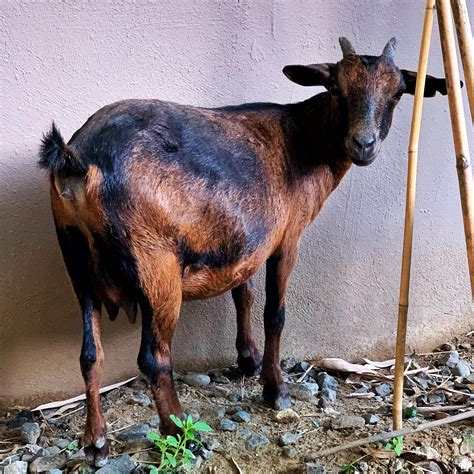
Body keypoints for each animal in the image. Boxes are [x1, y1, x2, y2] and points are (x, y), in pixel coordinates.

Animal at [38, 38, 448, 466]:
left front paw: (247, 359)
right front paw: (275, 388)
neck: (303, 139)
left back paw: (96, 441)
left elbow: (243, 293)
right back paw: (179, 432)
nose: (363, 144)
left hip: (75, 262)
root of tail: (76, 160)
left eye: (398, 91)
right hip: (156, 266)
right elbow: (274, 314)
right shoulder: (287, 239)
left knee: (90, 354)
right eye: (336, 87)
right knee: (153, 358)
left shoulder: (246, 242)